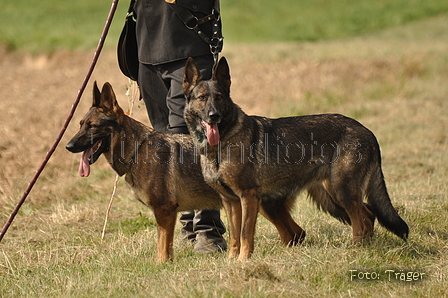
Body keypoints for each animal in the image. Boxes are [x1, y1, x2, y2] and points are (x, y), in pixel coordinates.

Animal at [183, 56, 410, 260]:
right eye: (202, 98)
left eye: (219, 97)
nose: (214, 116)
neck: (223, 141)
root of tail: (367, 131)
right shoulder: (231, 202)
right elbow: (234, 237)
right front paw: (232, 261)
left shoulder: (248, 196)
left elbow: (245, 233)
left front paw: (243, 261)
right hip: (330, 192)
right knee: (368, 215)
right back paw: (366, 247)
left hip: (341, 190)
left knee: (359, 221)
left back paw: (356, 249)